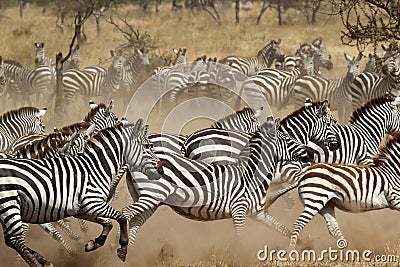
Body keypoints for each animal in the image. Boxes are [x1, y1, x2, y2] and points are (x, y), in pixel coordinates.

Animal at [0, 120, 162, 267]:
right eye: (148, 146)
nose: (161, 170)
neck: (94, 168)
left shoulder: (82, 210)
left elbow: (108, 223)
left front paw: (93, 244)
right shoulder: (93, 203)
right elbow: (121, 217)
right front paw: (122, 249)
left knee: (11, 240)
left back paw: (42, 260)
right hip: (10, 206)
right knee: (16, 239)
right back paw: (37, 263)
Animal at [122, 118, 312, 248]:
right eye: (288, 139)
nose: (309, 154)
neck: (250, 174)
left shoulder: (258, 213)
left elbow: (283, 229)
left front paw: (304, 246)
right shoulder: (239, 210)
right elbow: (241, 239)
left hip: (150, 199)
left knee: (135, 221)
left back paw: (130, 253)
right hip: (151, 195)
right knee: (125, 214)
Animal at [264, 132, 400, 251]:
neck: (393, 171)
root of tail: (304, 174)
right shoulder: (396, 198)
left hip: (326, 204)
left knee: (333, 228)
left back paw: (349, 253)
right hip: (314, 200)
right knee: (298, 224)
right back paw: (291, 252)